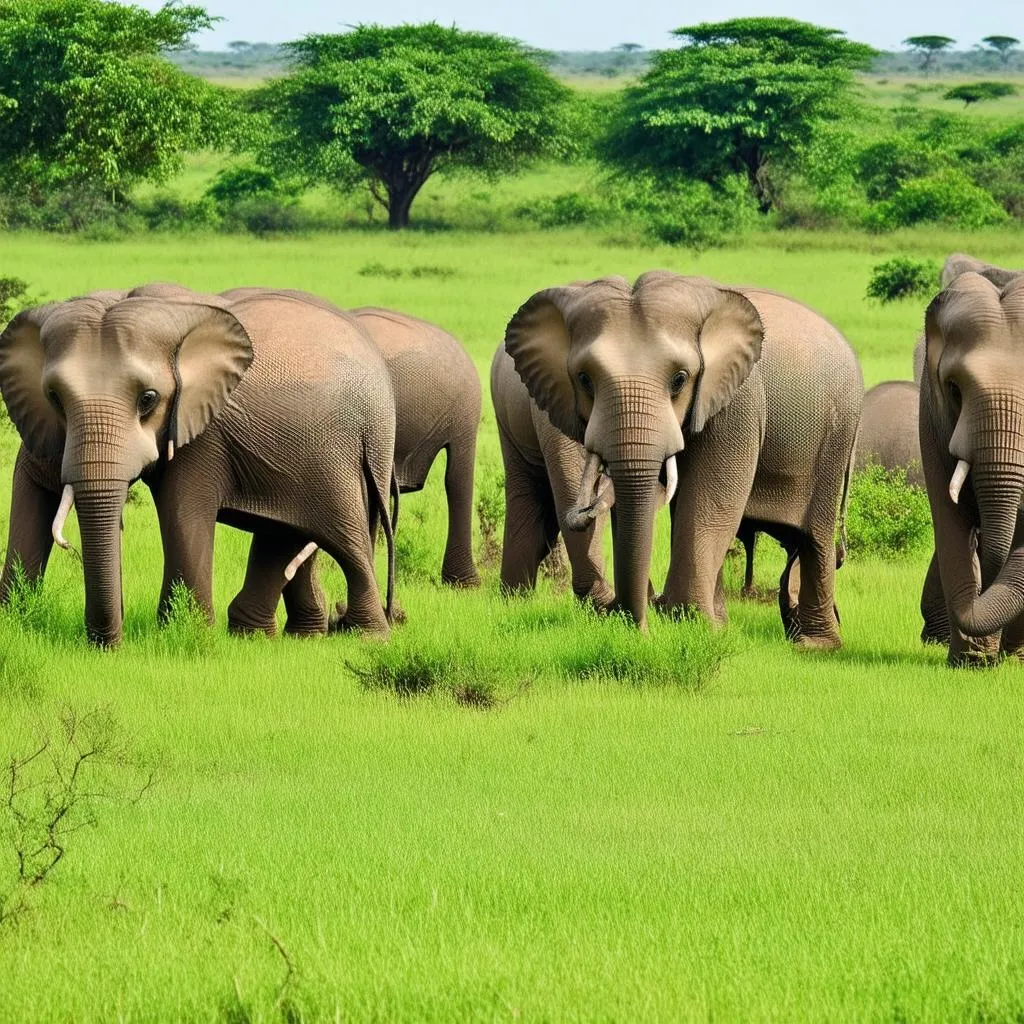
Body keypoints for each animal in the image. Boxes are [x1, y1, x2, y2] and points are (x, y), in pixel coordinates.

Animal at [0, 284, 397, 643]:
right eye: (54, 397)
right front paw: (14, 621)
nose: (108, 645)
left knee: (345, 536)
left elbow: (182, 510)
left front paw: (183, 631)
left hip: (337, 456)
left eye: (148, 399)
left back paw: (366, 637)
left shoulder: (204, 431)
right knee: (284, 532)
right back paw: (259, 636)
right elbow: (31, 485)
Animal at [505, 268, 864, 643]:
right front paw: (692, 623)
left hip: (837, 435)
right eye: (584, 379)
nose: (638, 628)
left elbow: (712, 496)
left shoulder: (738, 398)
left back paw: (815, 645)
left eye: (679, 379)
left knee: (814, 536)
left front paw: (689, 622)